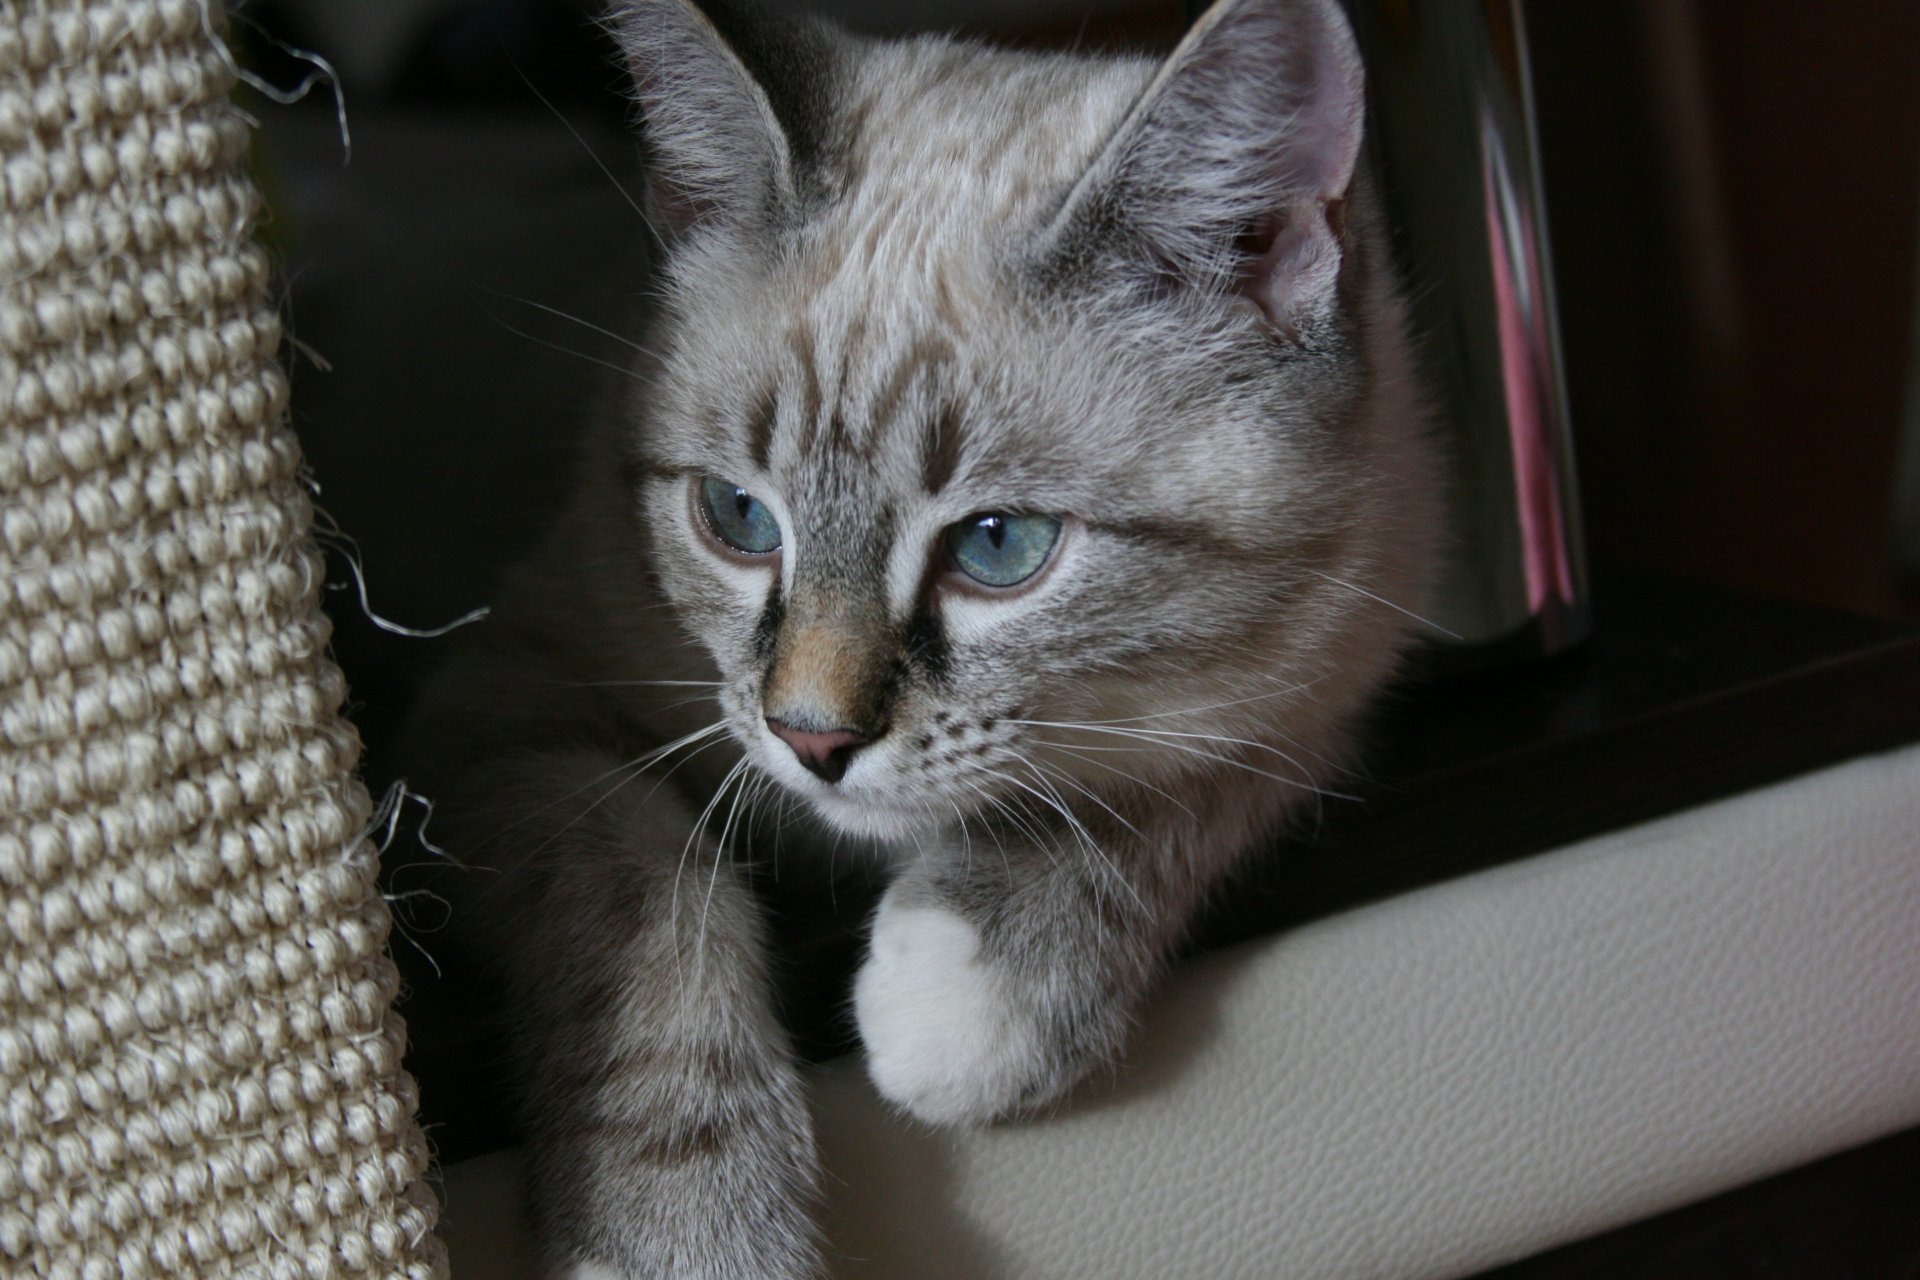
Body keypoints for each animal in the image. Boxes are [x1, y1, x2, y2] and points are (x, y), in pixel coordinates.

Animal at [397, 0, 1436, 1274]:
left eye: (998, 545)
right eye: (738, 518)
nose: (810, 739)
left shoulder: (1340, 660)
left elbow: (1180, 771)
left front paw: (963, 999)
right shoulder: (502, 702)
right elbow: (643, 890)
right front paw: (684, 1234)